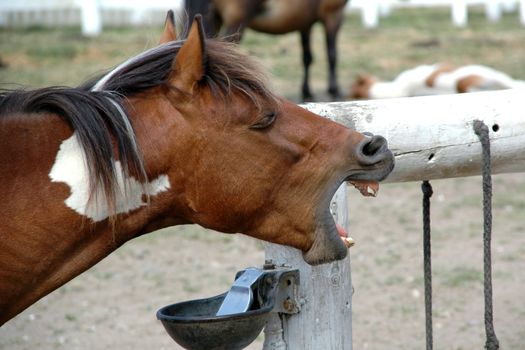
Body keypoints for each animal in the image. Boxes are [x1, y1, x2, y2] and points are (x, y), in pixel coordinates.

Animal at [186, 0, 350, 101]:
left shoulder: (305, 23)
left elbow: (307, 58)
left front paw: (307, 93)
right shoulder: (333, 15)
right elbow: (332, 55)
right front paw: (334, 90)